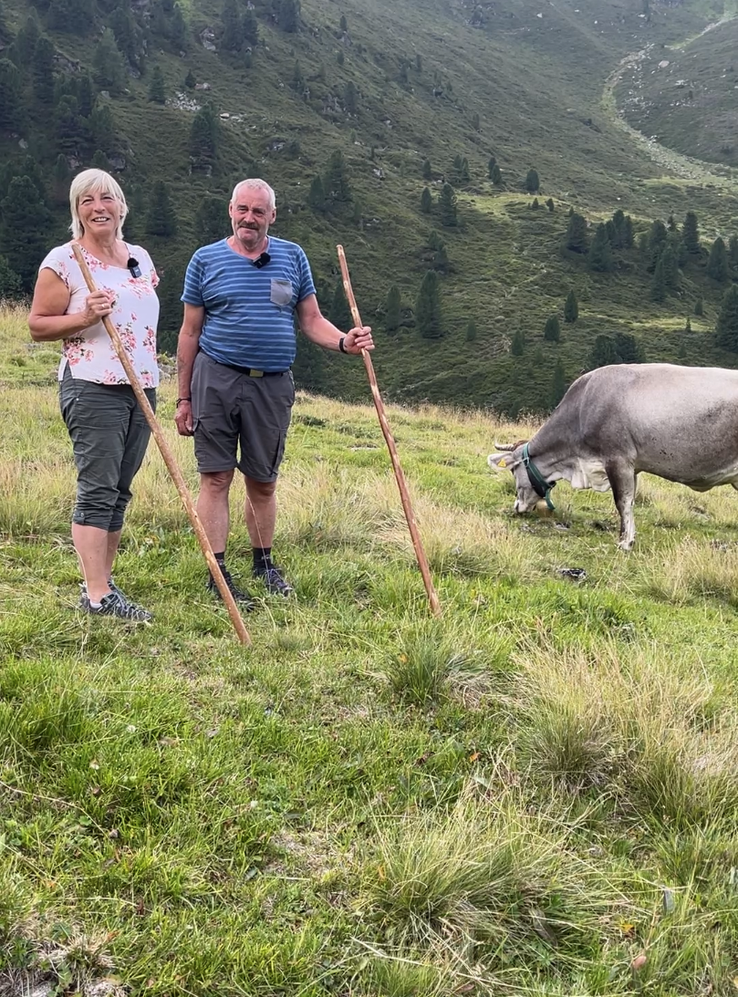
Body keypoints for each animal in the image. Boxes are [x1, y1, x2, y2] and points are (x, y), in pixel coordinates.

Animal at [488, 363, 738, 550]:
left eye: (513, 471)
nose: (517, 506)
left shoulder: (617, 459)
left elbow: (622, 502)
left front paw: (624, 542)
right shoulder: (632, 466)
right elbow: (631, 501)